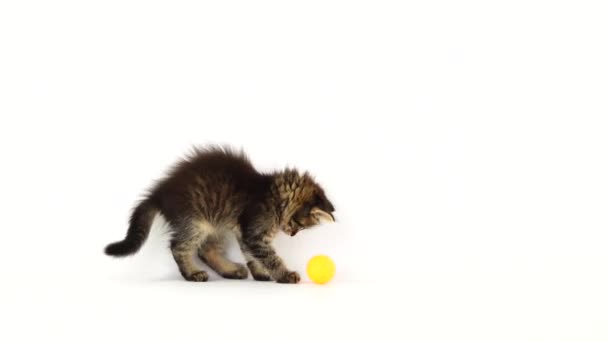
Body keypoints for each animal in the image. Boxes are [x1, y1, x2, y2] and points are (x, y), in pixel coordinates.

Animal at [104, 147, 332, 284]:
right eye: (300, 225)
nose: (292, 234)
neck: (271, 194)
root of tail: (160, 193)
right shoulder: (254, 232)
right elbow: (270, 257)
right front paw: (285, 275)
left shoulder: (244, 232)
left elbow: (252, 256)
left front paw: (261, 274)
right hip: (195, 221)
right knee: (179, 247)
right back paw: (192, 273)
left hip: (217, 224)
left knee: (207, 250)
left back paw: (231, 271)